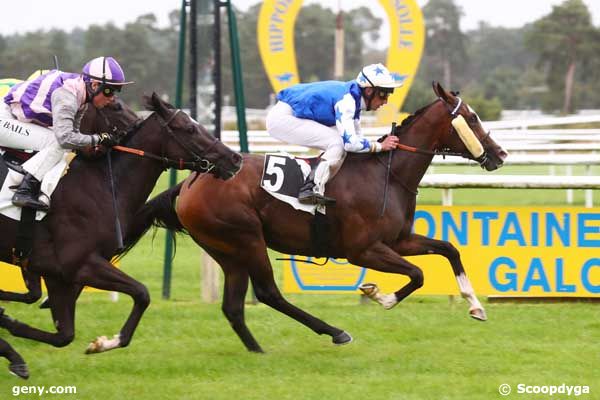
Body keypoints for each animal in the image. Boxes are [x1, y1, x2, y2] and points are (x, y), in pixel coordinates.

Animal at [0, 94, 244, 354]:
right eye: (190, 128)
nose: (235, 158)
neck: (102, 185)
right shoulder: (80, 265)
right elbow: (142, 292)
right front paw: (108, 341)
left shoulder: (57, 273)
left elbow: (63, 334)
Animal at [130, 83, 506, 352]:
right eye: (472, 119)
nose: (500, 154)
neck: (386, 173)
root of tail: (191, 181)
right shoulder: (362, 250)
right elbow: (417, 274)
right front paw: (379, 295)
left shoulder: (399, 240)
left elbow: (449, 250)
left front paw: (476, 306)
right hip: (246, 238)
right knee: (268, 293)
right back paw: (334, 332)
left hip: (225, 249)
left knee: (234, 306)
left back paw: (257, 350)